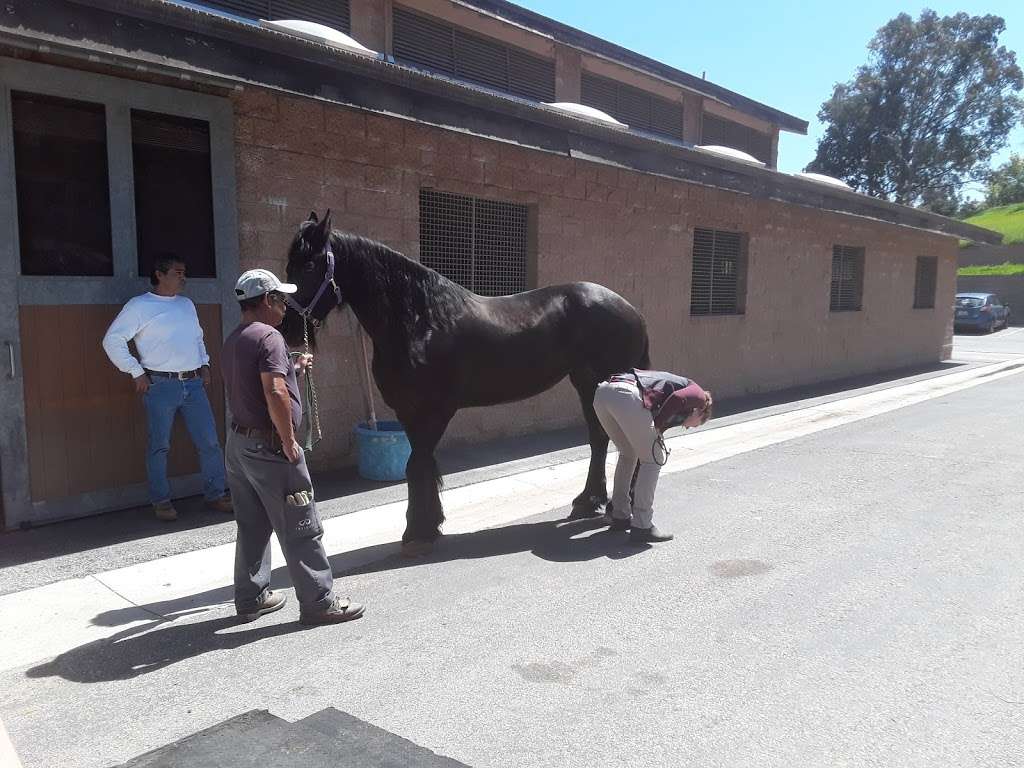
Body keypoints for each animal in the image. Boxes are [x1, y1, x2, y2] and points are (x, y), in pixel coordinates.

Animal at [280, 211, 647, 552]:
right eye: (290, 265)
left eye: (309, 265)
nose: (287, 327)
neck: (420, 320)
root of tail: (630, 310)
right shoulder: (408, 412)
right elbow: (421, 464)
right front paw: (429, 525)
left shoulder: (436, 410)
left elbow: (418, 465)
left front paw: (418, 532)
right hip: (587, 385)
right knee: (598, 440)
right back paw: (589, 502)